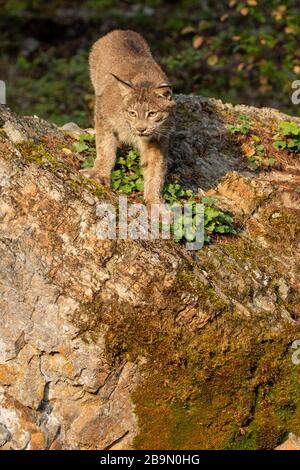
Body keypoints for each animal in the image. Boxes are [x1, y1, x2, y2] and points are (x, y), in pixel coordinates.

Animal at [82, 29, 176, 206]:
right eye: (132, 113)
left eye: (152, 114)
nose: (141, 129)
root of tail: (120, 30)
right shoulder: (103, 114)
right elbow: (105, 147)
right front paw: (100, 174)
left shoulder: (158, 138)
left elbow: (155, 169)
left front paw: (154, 201)